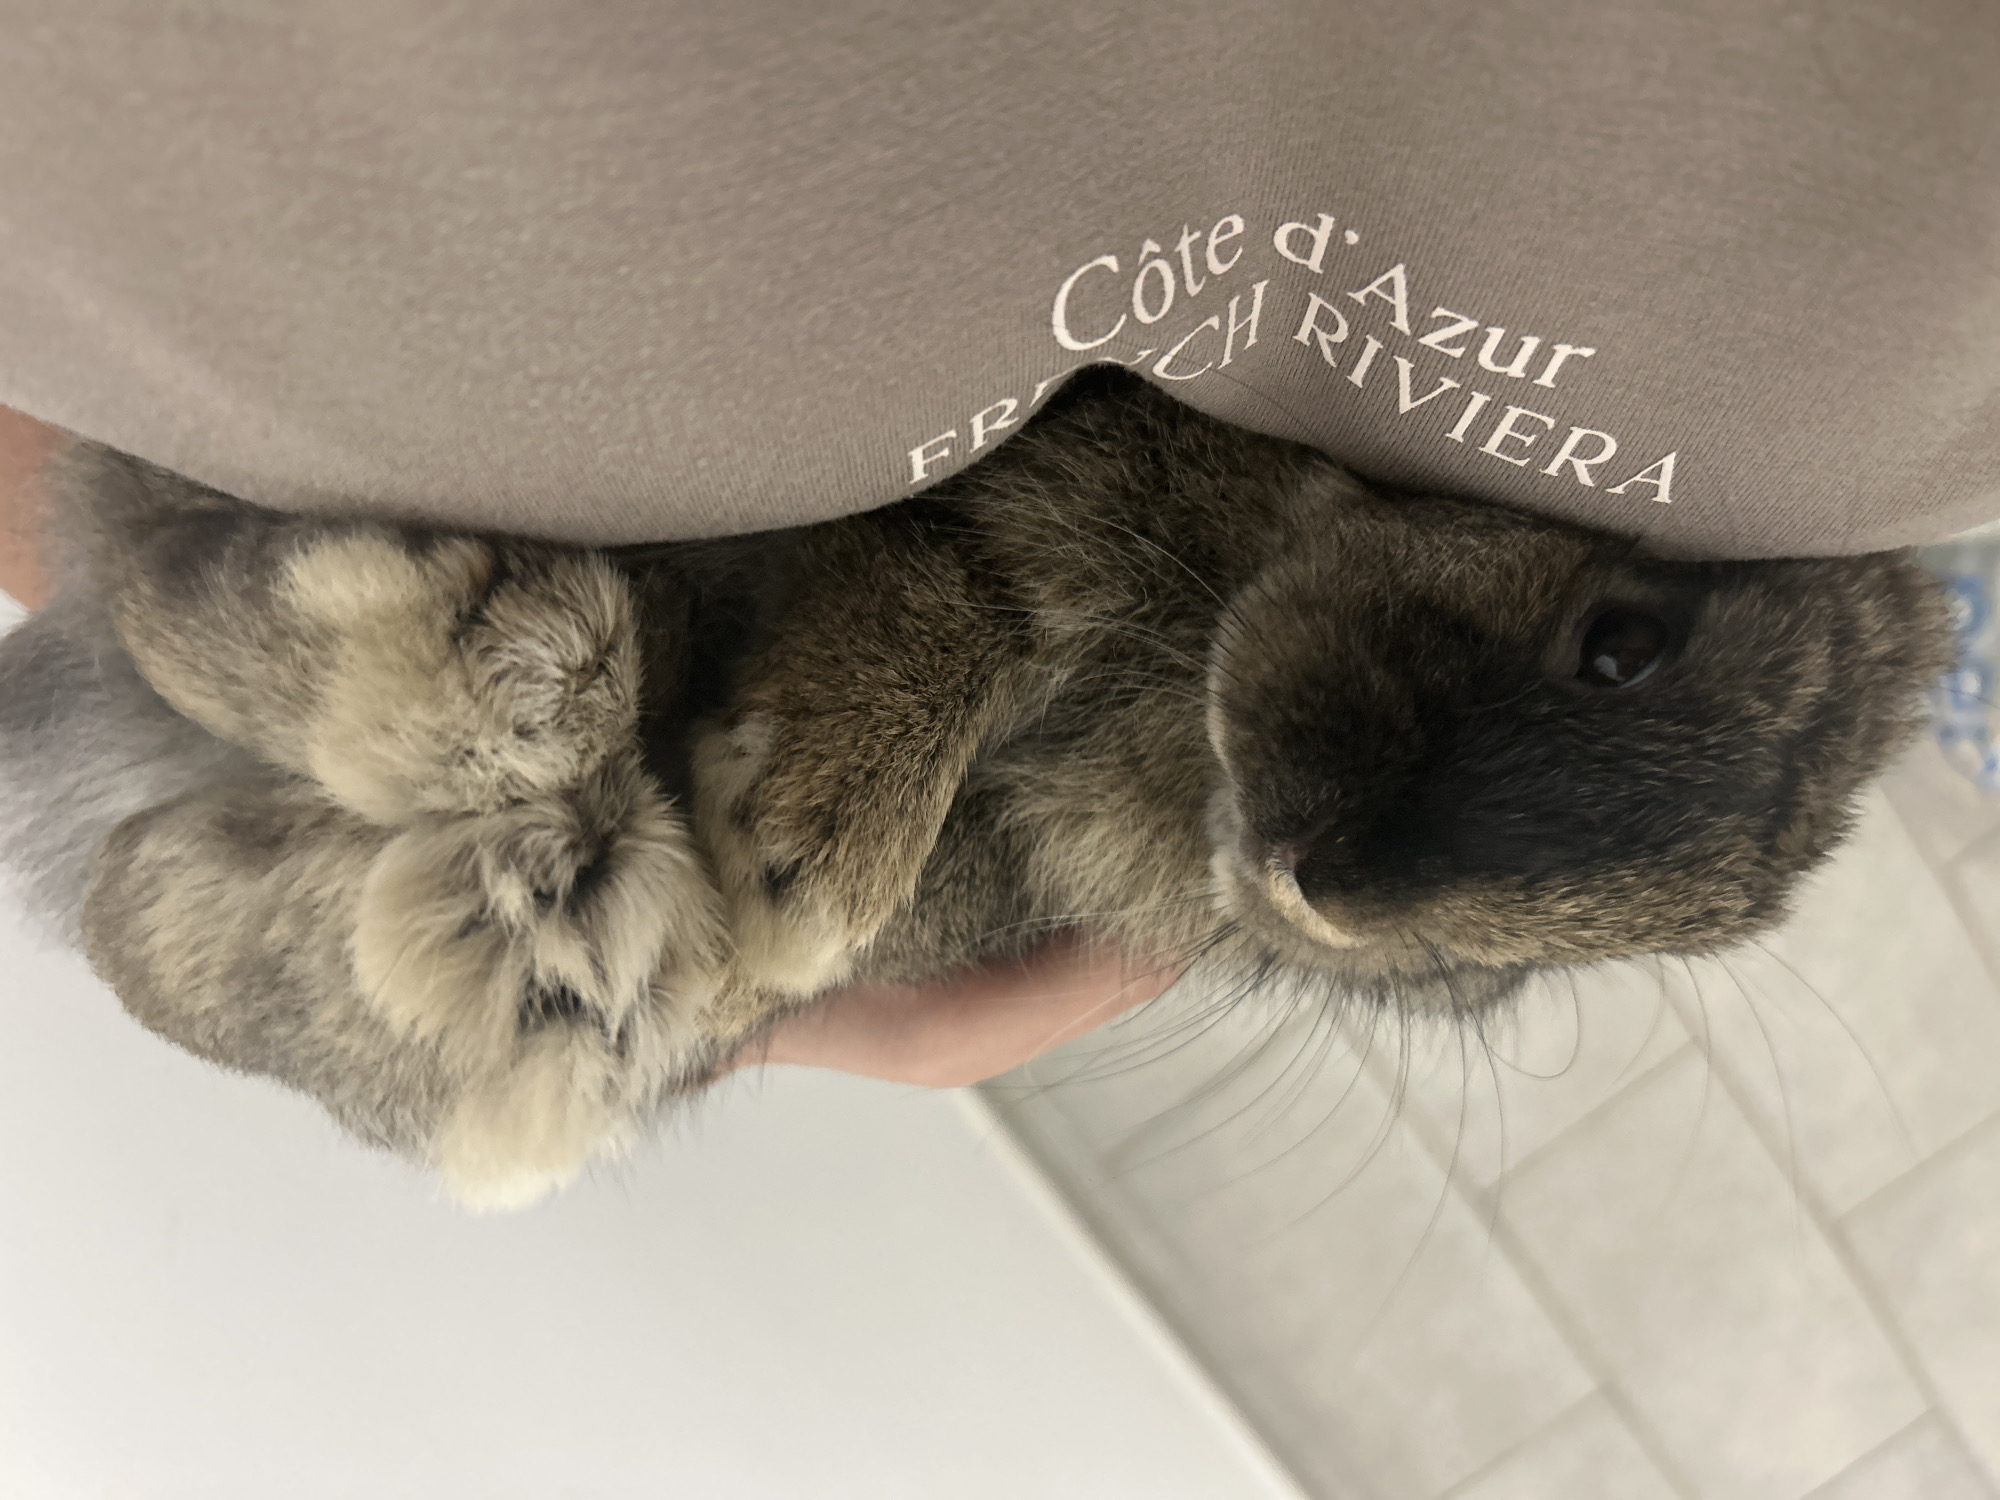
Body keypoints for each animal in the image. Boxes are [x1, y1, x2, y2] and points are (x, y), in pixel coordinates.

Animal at [0, 368, 1955, 1208]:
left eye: (1518, 972)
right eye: (1627, 639)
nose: (1325, 878)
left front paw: (765, 887)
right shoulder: (1037, 476)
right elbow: (951, 583)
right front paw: (810, 852)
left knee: (184, 922)